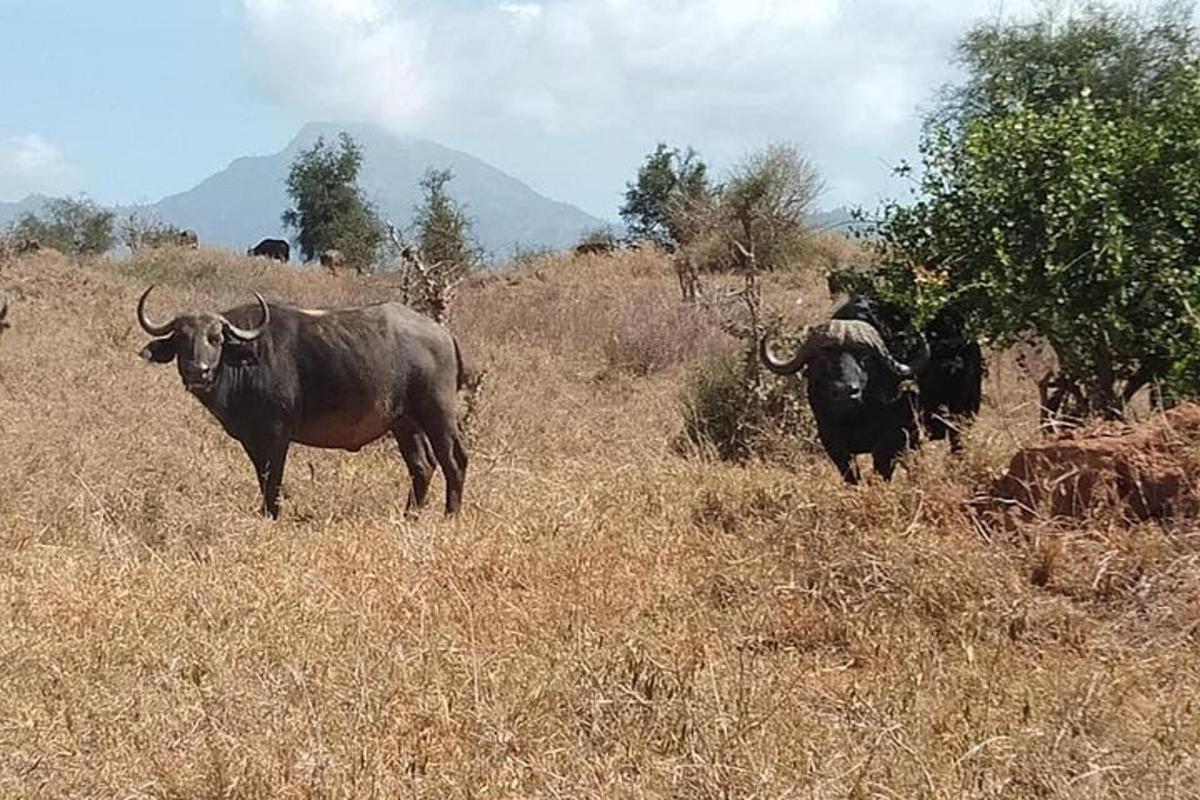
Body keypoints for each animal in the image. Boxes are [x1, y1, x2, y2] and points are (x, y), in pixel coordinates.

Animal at [135, 287, 463, 520]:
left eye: (216, 338)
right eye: (182, 339)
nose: (198, 371)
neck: (246, 362)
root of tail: (443, 334)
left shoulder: (277, 435)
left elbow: (273, 480)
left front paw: (272, 514)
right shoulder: (252, 441)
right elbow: (262, 476)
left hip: (437, 413)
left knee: (454, 460)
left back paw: (451, 515)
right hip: (405, 423)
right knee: (422, 465)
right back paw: (410, 515)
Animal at [763, 319, 921, 482]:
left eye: (865, 357)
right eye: (824, 357)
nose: (845, 391)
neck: (854, 420)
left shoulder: (897, 434)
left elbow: (881, 459)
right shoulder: (831, 440)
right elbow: (850, 471)